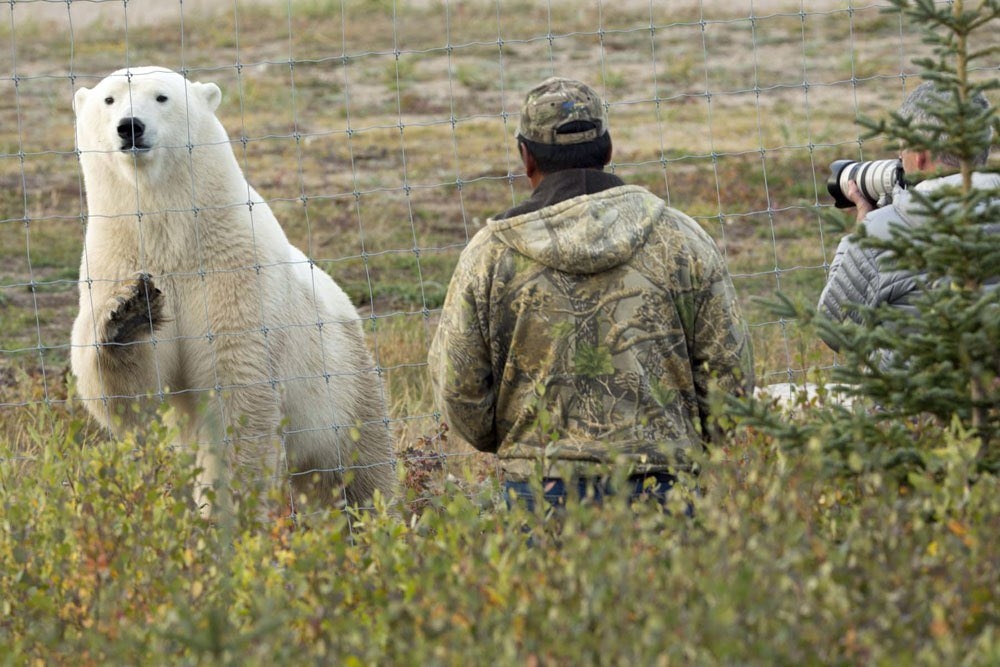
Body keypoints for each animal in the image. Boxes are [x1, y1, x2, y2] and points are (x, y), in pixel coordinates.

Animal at [70, 66, 396, 517]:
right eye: (109, 99)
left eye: (162, 97)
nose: (129, 126)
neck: (171, 231)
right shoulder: (113, 259)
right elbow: (130, 392)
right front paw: (129, 312)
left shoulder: (235, 266)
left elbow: (238, 388)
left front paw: (229, 507)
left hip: (342, 378)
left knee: (355, 465)